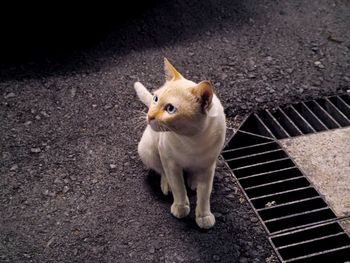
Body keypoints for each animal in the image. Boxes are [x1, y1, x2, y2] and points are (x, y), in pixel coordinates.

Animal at [133, 58, 226, 229]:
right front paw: (181, 207)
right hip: (148, 150)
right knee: (161, 170)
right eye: (155, 99)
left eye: (170, 109)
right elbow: (178, 188)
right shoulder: (170, 162)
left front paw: (203, 216)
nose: (149, 116)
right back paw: (167, 184)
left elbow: (204, 195)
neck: (192, 140)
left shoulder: (209, 166)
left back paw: (194, 181)